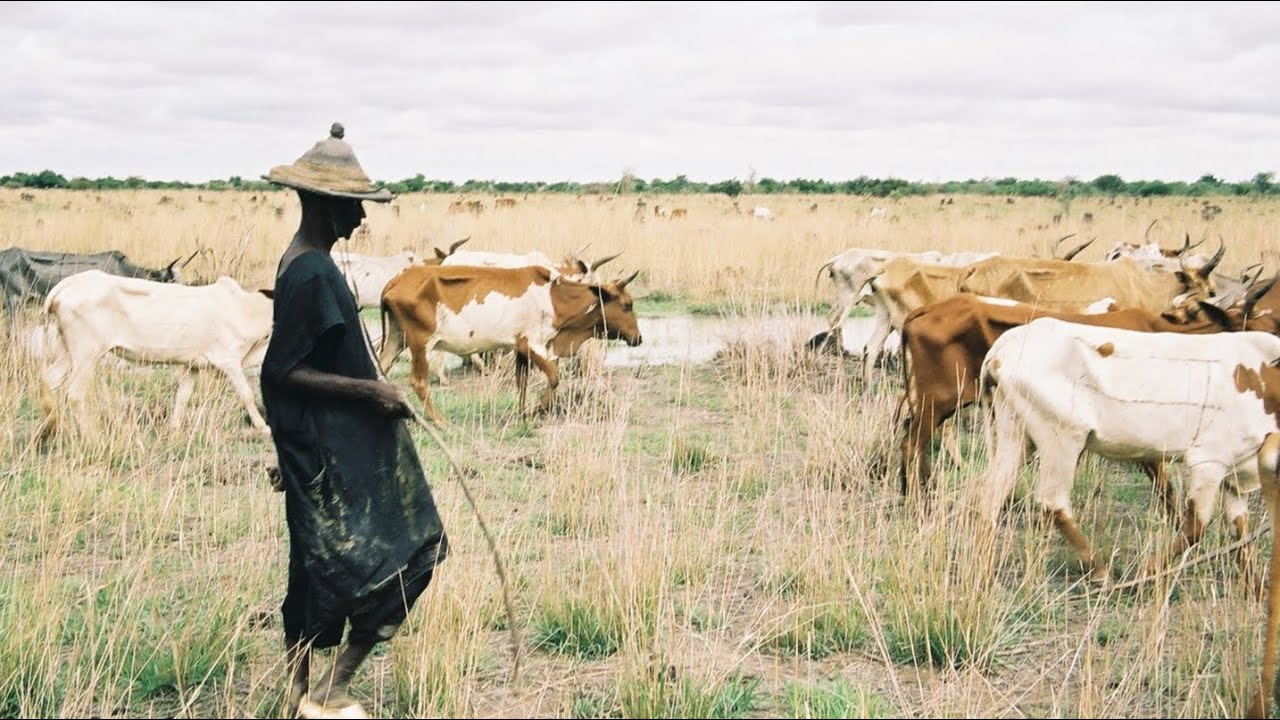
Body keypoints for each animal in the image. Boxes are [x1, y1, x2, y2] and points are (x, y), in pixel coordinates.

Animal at [37, 270, 274, 439]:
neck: (247, 309)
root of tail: (67, 285)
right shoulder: (229, 361)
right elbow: (246, 394)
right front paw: (264, 428)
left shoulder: (191, 366)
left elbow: (182, 397)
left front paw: (174, 428)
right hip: (86, 354)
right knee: (75, 394)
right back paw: (91, 437)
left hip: (69, 352)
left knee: (49, 379)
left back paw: (51, 426)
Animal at [377, 265, 642, 424]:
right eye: (627, 304)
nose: (638, 338)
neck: (554, 298)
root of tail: (399, 278)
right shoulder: (532, 345)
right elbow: (554, 376)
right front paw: (537, 410)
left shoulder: (520, 350)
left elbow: (521, 382)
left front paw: (523, 413)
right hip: (420, 342)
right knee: (419, 382)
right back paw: (440, 421)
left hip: (397, 338)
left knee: (383, 367)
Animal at [971, 317, 1280, 587]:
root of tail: (1003, 348)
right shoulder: (1208, 461)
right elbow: (1197, 527)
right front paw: (1147, 571)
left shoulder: (1236, 473)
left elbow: (1241, 530)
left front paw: (1254, 588)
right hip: (1061, 439)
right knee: (1053, 503)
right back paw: (1100, 570)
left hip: (1014, 433)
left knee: (992, 493)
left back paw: (984, 575)